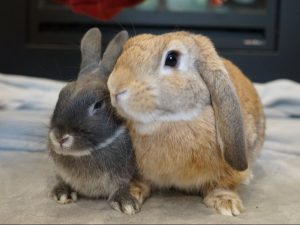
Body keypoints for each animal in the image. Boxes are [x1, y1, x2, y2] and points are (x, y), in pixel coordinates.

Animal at [47, 28, 140, 214]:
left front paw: (125, 203)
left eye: (98, 105)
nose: (60, 137)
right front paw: (63, 193)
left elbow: (121, 186)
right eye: (61, 94)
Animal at [107, 31, 264, 216]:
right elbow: (141, 181)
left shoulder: (226, 172)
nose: (114, 87)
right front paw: (127, 197)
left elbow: (222, 185)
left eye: (172, 58)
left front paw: (227, 203)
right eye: (125, 49)